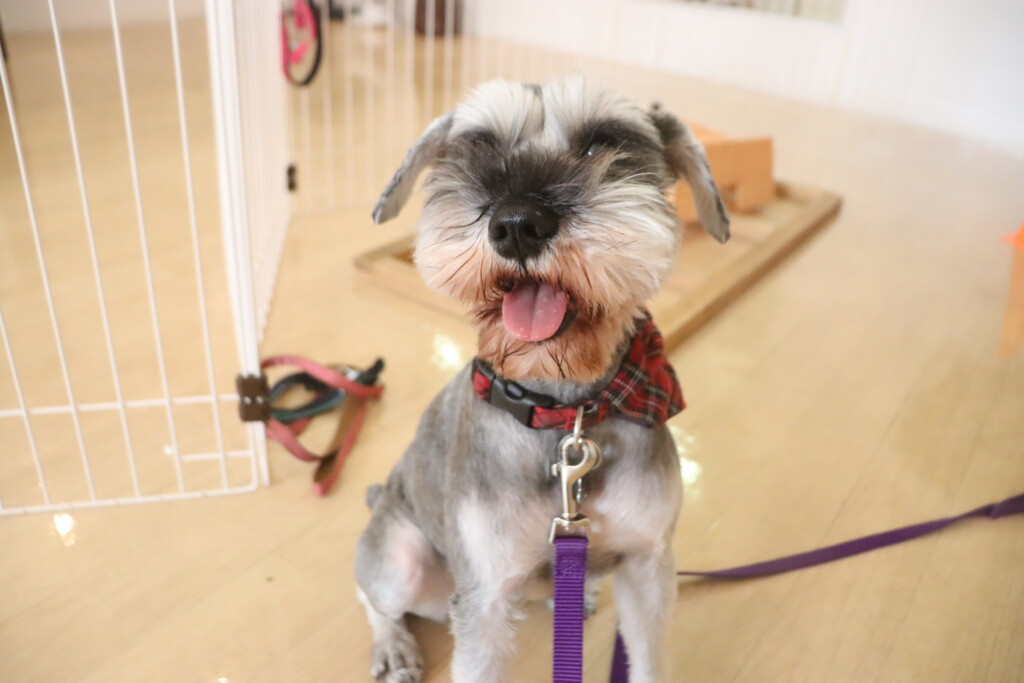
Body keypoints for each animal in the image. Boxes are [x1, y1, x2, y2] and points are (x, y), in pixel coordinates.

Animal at [356, 75, 729, 683]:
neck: (564, 415)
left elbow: (649, 658)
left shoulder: (649, 566)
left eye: (605, 142)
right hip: (401, 561)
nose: (516, 224)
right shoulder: (482, 599)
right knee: (375, 598)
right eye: (478, 146)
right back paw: (393, 647)